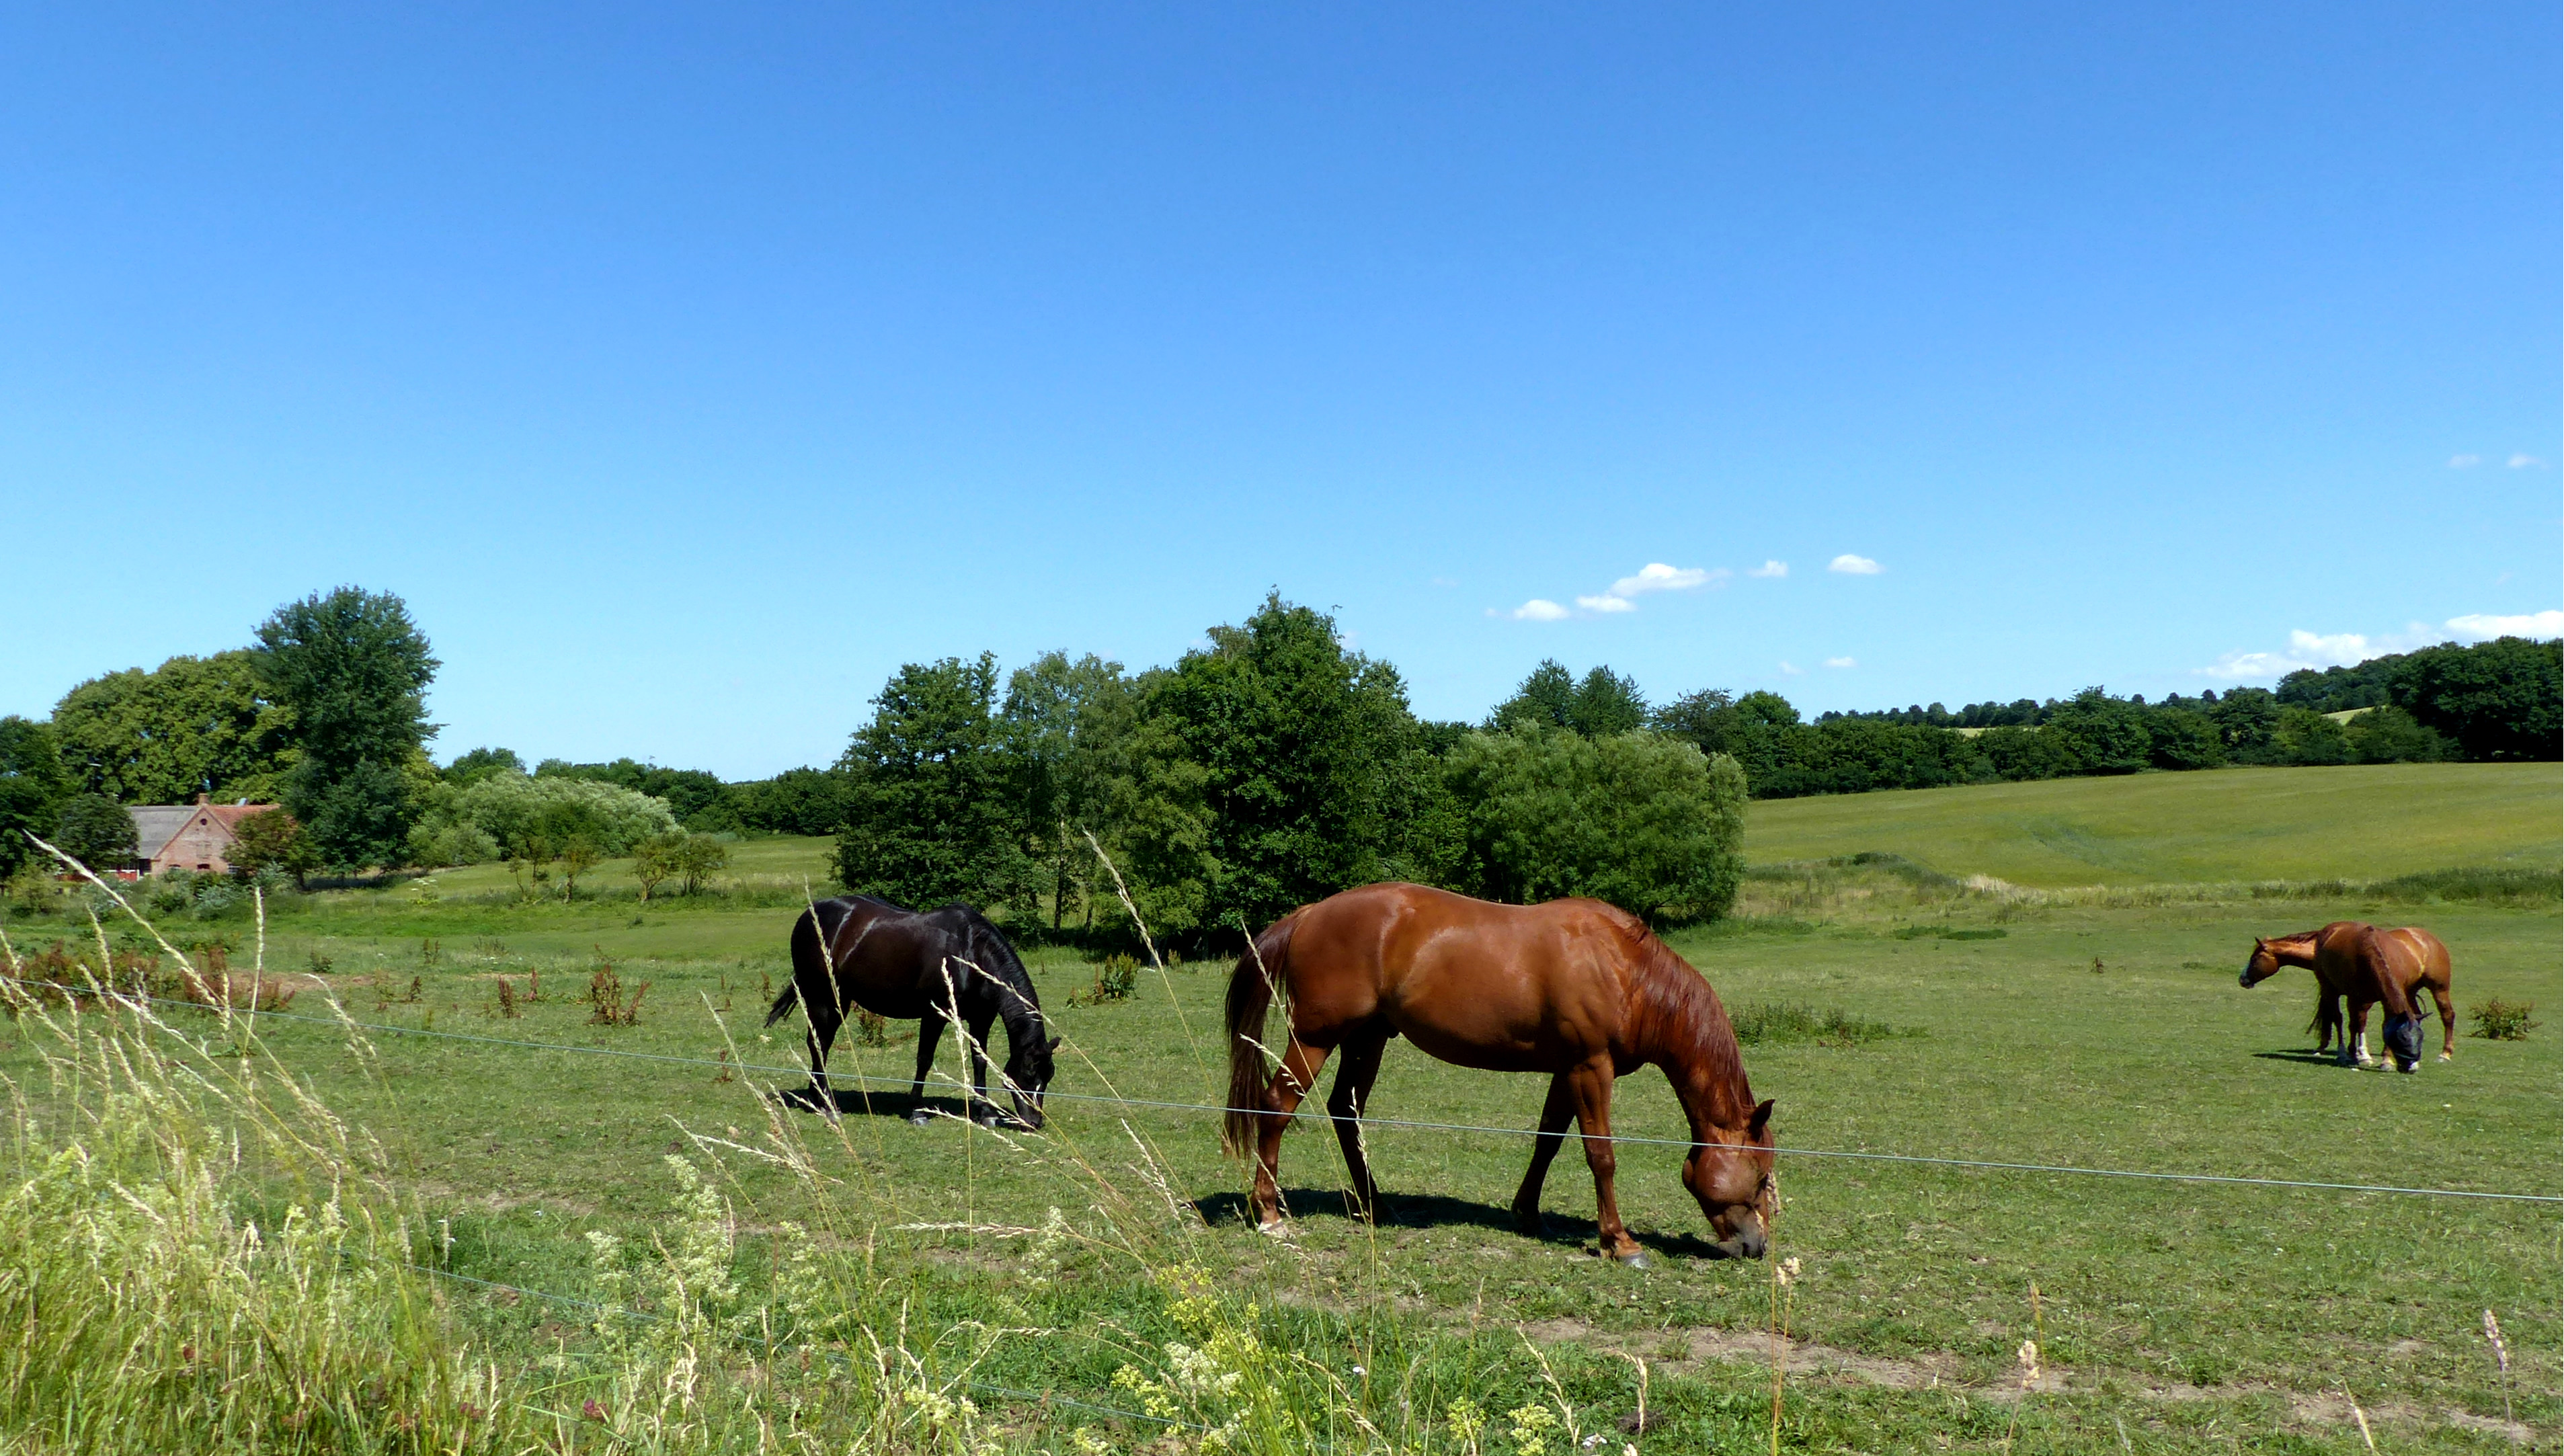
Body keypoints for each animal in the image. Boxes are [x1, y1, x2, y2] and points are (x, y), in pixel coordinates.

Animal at [765, 895, 1060, 1128]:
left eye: (1049, 1076)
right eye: (1029, 1073)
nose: (1035, 1121)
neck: (969, 952)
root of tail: (809, 914)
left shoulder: (981, 1018)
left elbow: (980, 1061)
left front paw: (986, 1112)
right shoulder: (935, 1014)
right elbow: (924, 1060)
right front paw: (918, 1112)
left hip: (840, 1000)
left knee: (820, 1043)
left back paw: (818, 1099)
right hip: (823, 998)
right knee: (819, 1043)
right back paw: (827, 1105)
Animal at [1222, 882, 1776, 1265]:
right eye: (1762, 1173)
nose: (1757, 1246)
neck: (1625, 969)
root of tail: (1310, 914)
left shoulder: (1567, 1069)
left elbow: (1548, 1140)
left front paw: (1528, 1213)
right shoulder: (1591, 1068)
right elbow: (1601, 1155)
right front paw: (1619, 1242)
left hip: (1367, 1040)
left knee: (1345, 1112)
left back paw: (1372, 1205)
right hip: (1315, 1039)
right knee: (1276, 1109)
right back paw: (1269, 1214)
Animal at [2240, 921, 2451, 1072]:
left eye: (2255, 958)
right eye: (2403, 1039)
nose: (2242, 978)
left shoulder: (2366, 999)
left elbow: (2361, 1024)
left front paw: (2371, 1057)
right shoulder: (2349, 995)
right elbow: (2350, 1023)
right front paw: (2354, 1054)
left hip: (2439, 989)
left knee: (2447, 1015)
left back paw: (2445, 1054)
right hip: (2406, 991)